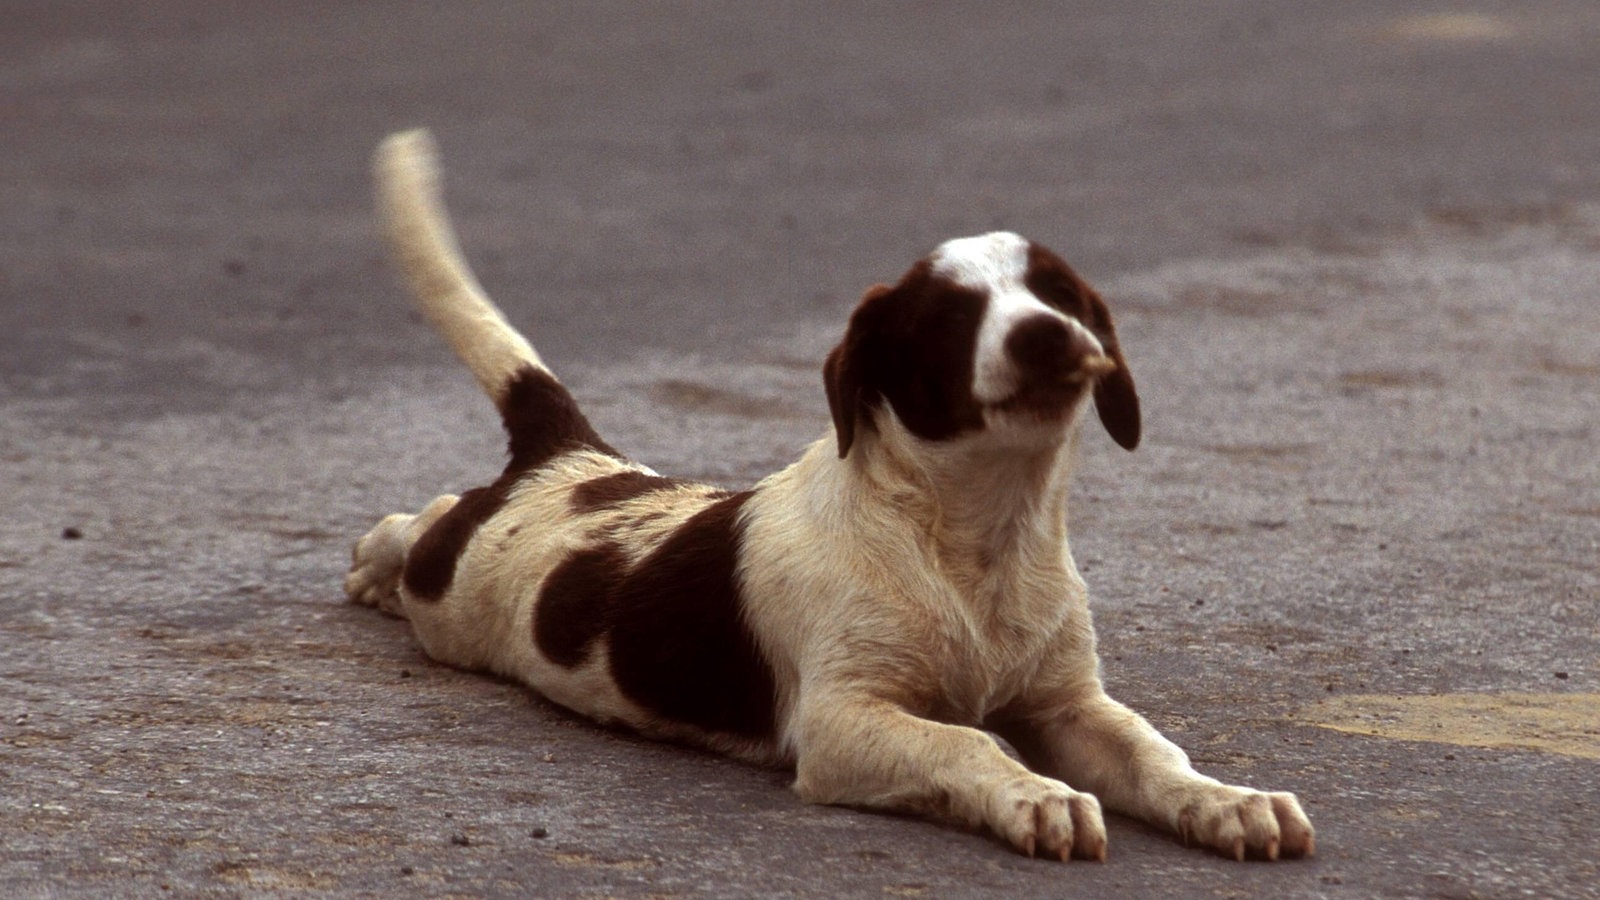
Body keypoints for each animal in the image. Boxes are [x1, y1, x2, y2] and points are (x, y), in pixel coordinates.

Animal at [347, 129, 1312, 858]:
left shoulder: (1070, 705)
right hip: (452, 594)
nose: (1047, 334)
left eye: (1062, 294)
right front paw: (1036, 796)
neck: (974, 538)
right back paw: (374, 563)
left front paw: (1227, 800)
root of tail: (572, 460)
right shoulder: (845, 721)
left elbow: (1155, 754)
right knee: (427, 520)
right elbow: (966, 739)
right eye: (951, 319)